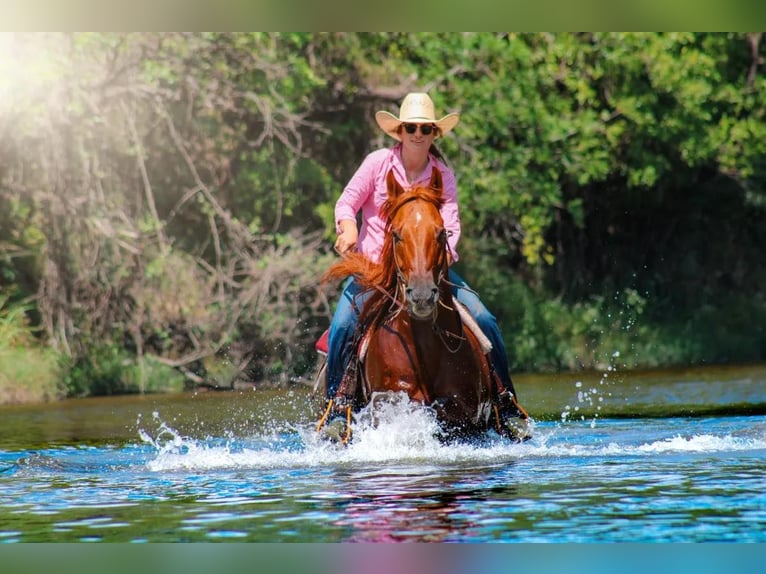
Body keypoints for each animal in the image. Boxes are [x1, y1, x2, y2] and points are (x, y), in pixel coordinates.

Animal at [314, 166, 528, 446]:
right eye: (396, 235)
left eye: (441, 233)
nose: (422, 296)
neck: (424, 347)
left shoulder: (468, 412)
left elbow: (442, 411)